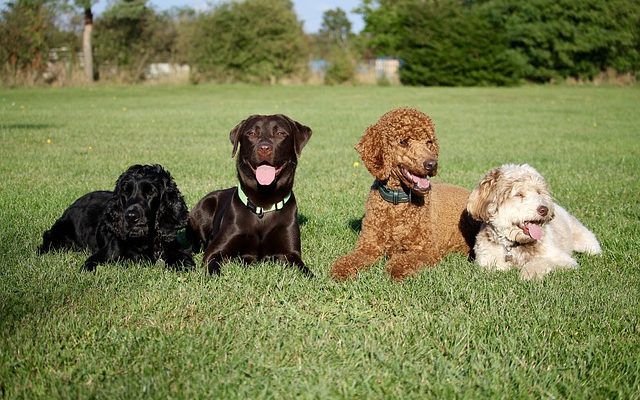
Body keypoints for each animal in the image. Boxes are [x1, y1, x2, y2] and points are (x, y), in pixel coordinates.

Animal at [186, 113, 314, 276]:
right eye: (251, 133)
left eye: (281, 133)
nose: (264, 148)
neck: (263, 204)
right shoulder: (214, 251)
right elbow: (213, 267)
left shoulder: (291, 254)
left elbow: (306, 272)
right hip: (204, 207)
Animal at [332, 108, 478, 280]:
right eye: (403, 142)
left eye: (429, 142)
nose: (432, 164)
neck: (397, 204)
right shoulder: (368, 246)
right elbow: (351, 259)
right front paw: (341, 270)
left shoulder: (426, 250)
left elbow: (400, 263)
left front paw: (393, 269)